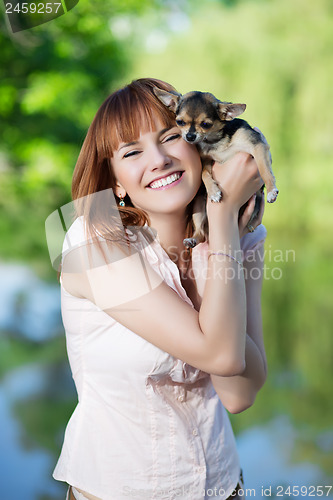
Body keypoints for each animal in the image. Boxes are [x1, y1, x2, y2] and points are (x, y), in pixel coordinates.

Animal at [154, 89, 278, 249]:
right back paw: (192, 239)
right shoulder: (206, 160)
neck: (214, 141)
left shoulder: (257, 145)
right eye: (180, 122)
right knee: (200, 233)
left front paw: (271, 190)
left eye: (206, 124)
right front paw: (213, 191)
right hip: (198, 206)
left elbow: (264, 169)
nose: (190, 136)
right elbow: (203, 174)